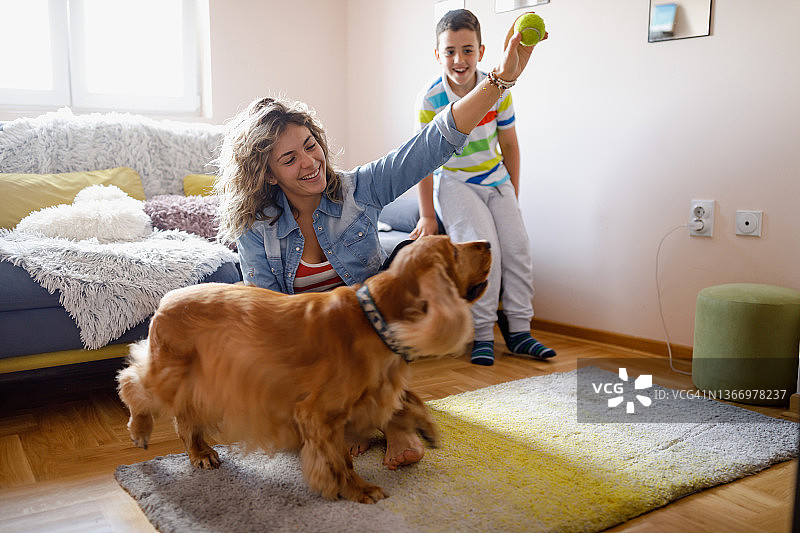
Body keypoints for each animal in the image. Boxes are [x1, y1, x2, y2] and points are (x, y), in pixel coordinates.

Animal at [117, 235, 491, 503]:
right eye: (454, 252)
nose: (487, 244)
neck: (372, 318)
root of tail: (165, 300)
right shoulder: (317, 414)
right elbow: (339, 460)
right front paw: (358, 489)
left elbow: (407, 400)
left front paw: (423, 425)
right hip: (171, 371)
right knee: (133, 385)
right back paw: (143, 431)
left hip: (197, 382)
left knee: (184, 415)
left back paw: (201, 452)